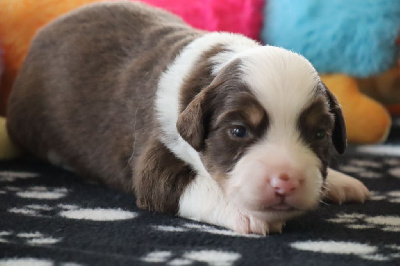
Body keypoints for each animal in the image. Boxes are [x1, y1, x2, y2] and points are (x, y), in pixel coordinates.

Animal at [6, 2, 370, 235]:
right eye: (238, 131)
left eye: (320, 135)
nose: (287, 181)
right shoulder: (154, 156)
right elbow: (192, 185)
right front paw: (244, 212)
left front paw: (339, 181)